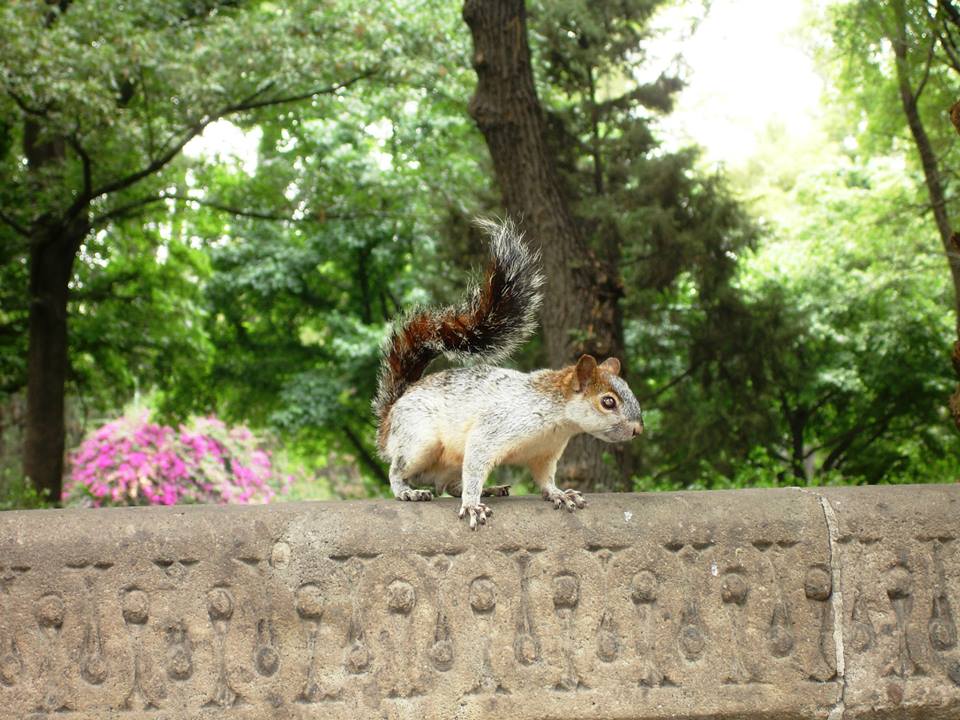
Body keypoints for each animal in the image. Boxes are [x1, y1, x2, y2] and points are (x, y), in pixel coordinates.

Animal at [376, 219, 644, 528]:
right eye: (608, 402)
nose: (638, 430)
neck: (558, 419)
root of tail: (392, 413)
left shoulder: (545, 453)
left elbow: (544, 479)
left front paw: (559, 493)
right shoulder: (495, 428)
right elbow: (476, 463)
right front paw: (472, 505)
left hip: (448, 462)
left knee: (450, 486)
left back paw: (489, 489)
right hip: (419, 442)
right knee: (399, 470)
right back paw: (408, 491)